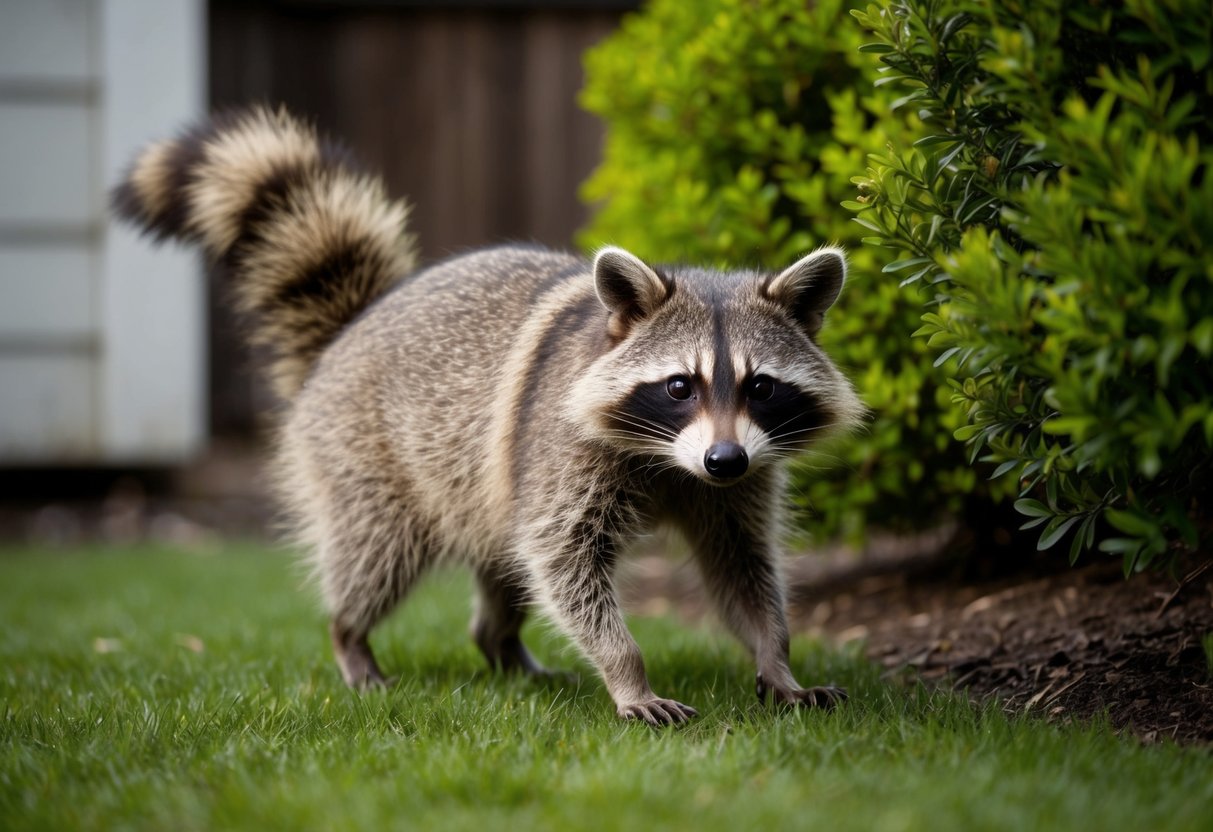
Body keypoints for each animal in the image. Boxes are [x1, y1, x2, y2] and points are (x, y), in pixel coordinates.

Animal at [112, 107, 864, 725]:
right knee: (375, 555)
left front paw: (776, 657)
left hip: (484, 491)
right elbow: (565, 560)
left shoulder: (741, 476)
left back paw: (502, 646)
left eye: (760, 387)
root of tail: (349, 329)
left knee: (507, 572)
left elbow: (742, 565)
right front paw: (627, 673)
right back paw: (350, 635)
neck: (671, 460)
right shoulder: (563, 451)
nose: (722, 460)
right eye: (680, 386)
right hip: (366, 456)